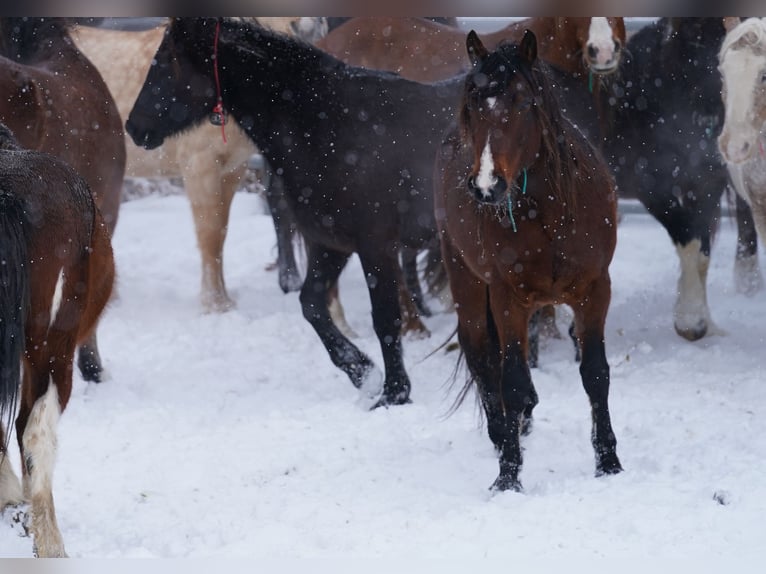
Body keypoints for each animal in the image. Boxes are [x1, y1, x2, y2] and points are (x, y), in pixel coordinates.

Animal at [128, 18, 464, 410]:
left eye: (167, 61)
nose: (133, 127)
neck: (332, 125)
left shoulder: (376, 247)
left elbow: (385, 320)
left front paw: (395, 393)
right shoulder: (330, 243)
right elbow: (311, 306)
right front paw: (363, 373)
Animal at [438, 30, 624, 490]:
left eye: (522, 102)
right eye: (473, 105)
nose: (486, 186)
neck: (547, 212)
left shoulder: (595, 291)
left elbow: (596, 375)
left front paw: (609, 463)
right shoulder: (508, 299)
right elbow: (512, 381)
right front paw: (508, 476)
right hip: (468, 283)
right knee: (481, 356)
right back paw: (501, 434)